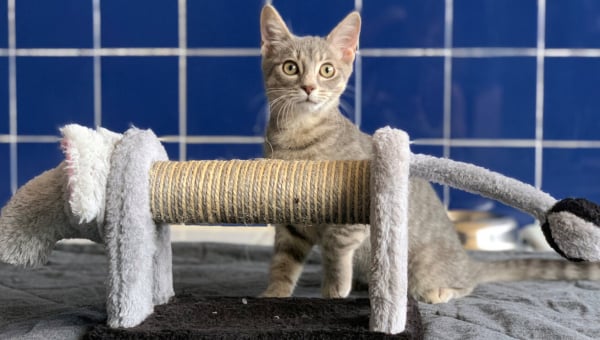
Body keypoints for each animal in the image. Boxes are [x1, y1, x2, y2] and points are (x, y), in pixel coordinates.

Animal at [258, 4, 600, 302]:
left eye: (327, 70)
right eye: (291, 67)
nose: (308, 87)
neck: (299, 135)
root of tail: (467, 260)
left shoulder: (351, 214)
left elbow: (335, 250)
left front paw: (333, 289)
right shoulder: (288, 221)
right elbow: (283, 262)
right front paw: (273, 294)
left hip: (422, 269)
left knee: (467, 285)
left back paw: (439, 291)